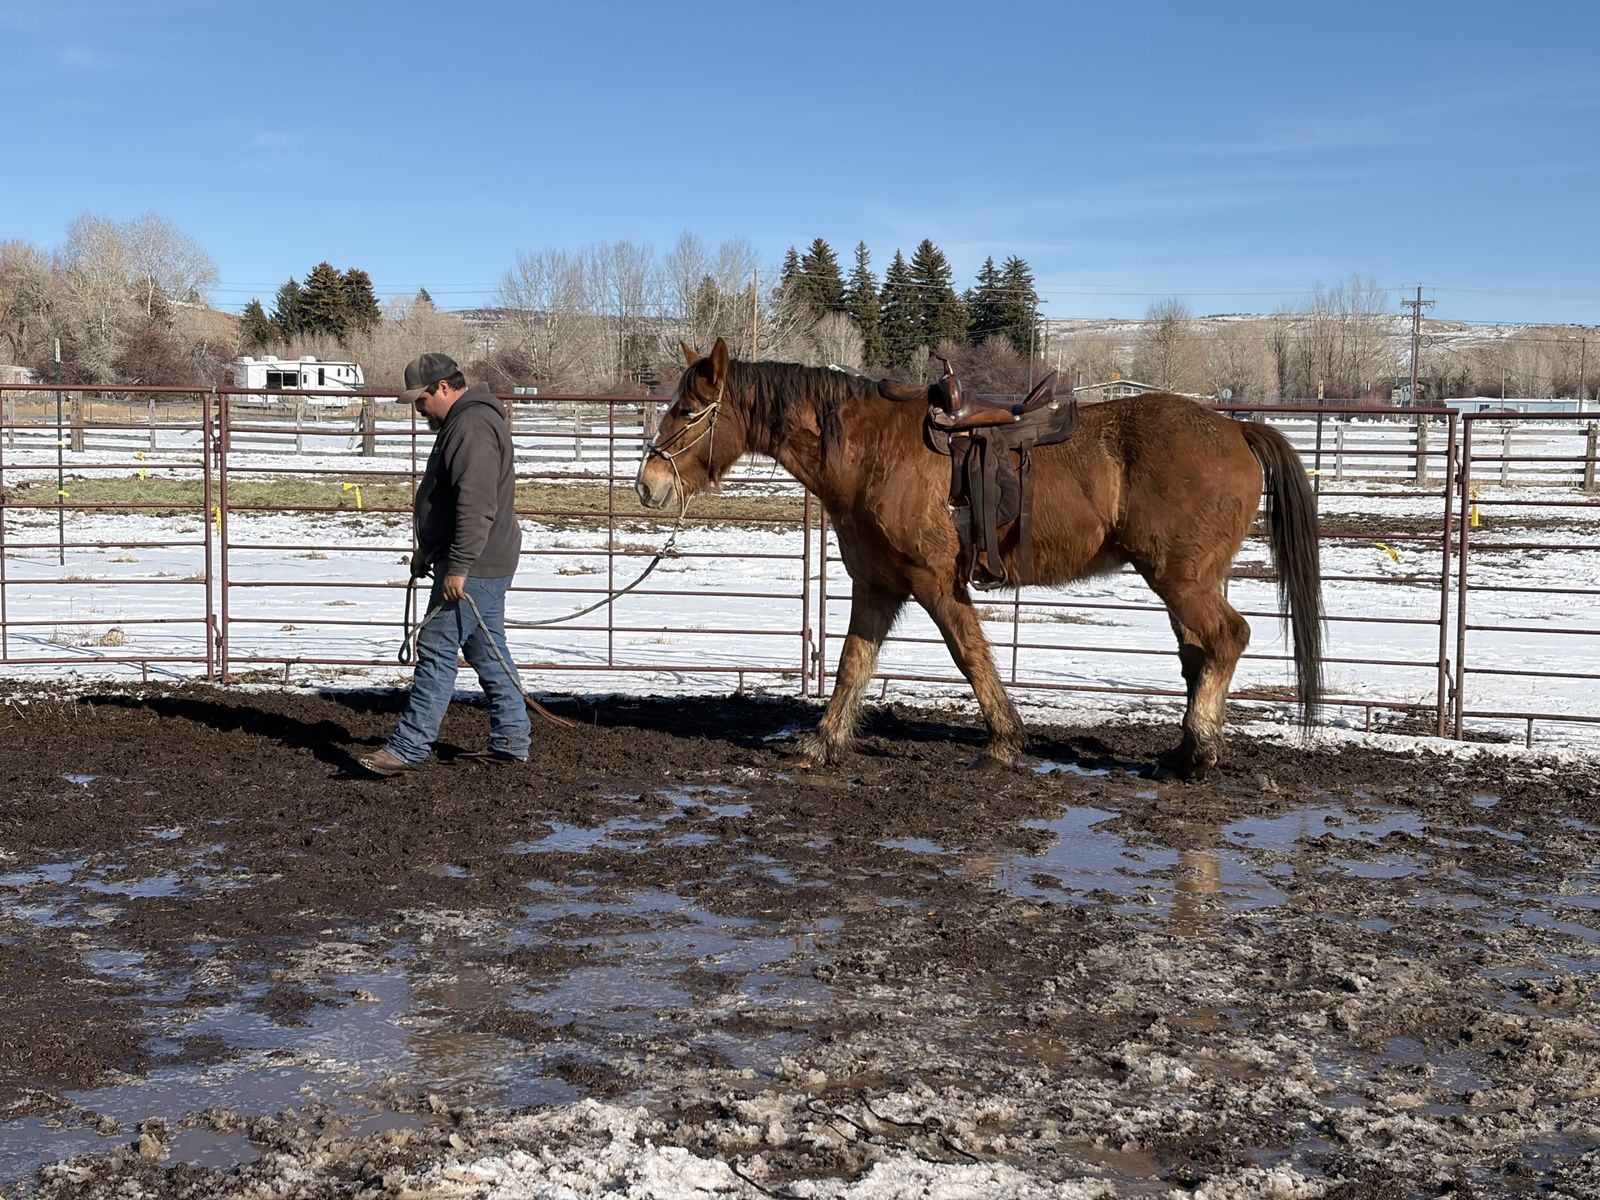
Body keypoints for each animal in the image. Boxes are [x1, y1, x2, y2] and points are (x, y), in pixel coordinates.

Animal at [635, 338, 1322, 780]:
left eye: (688, 411)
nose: (648, 485)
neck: (872, 451)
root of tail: (1236, 429)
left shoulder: (935, 582)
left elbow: (969, 655)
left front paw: (1004, 742)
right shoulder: (877, 585)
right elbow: (854, 663)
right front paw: (824, 742)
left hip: (1182, 580)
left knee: (1227, 639)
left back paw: (1200, 753)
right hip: (1188, 583)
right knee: (1199, 653)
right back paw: (1185, 749)